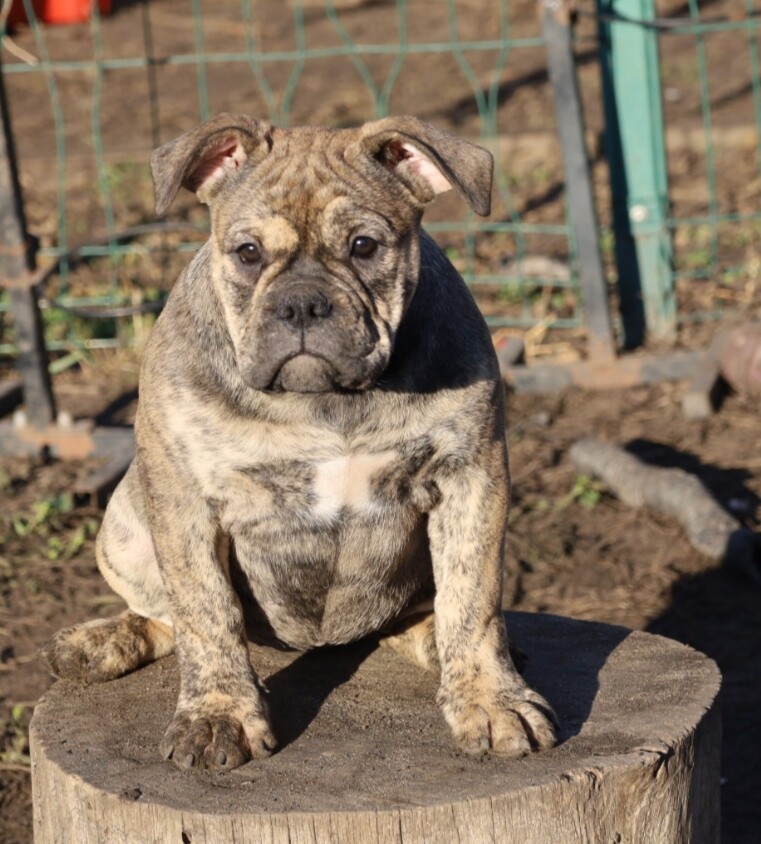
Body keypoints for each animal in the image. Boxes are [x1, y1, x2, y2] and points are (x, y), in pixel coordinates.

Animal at [43, 114, 557, 770]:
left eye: (364, 246)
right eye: (248, 252)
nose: (303, 303)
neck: (328, 399)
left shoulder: (471, 474)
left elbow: (474, 598)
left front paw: (492, 700)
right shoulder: (186, 503)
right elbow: (205, 612)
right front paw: (219, 715)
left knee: (426, 611)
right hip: (125, 522)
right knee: (165, 613)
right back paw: (97, 642)